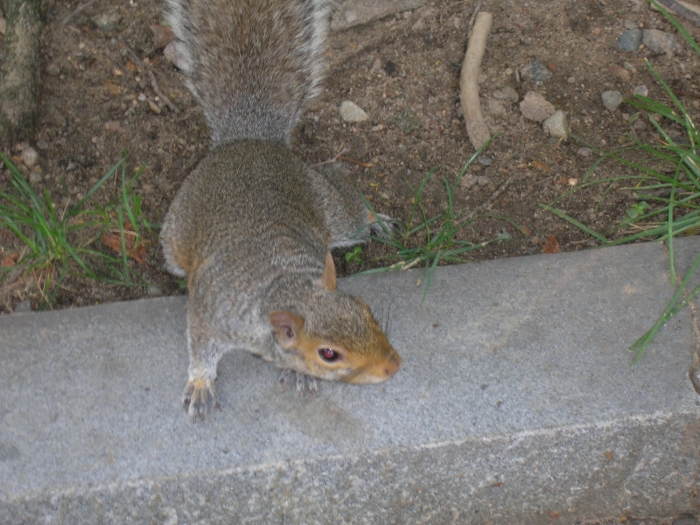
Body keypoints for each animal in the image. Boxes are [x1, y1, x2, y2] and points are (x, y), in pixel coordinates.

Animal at [159, 0, 400, 420]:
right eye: (329, 354)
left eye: (364, 308)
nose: (394, 365)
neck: (282, 286)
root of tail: (248, 139)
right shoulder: (209, 312)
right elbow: (200, 343)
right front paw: (201, 381)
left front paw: (299, 375)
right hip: (174, 237)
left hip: (329, 208)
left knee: (347, 198)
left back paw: (376, 222)